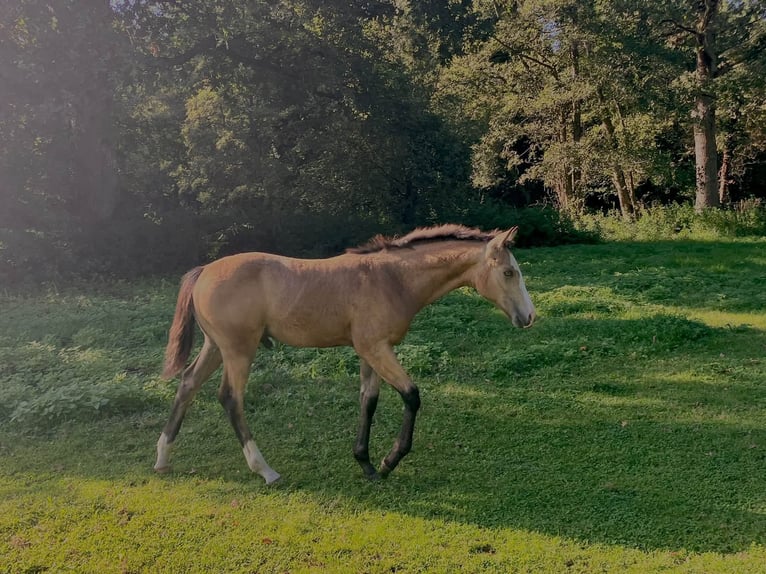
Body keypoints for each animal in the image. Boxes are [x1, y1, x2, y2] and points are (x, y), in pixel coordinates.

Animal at [155, 224, 536, 483]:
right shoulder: (376, 348)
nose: (529, 317)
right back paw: (265, 470)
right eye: (508, 272)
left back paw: (162, 458)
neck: (390, 278)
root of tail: (204, 271)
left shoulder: (370, 351)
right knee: (230, 398)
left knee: (187, 384)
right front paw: (389, 461)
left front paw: (365, 462)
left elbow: (368, 400)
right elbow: (411, 395)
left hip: (215, 347)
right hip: (238, 351)